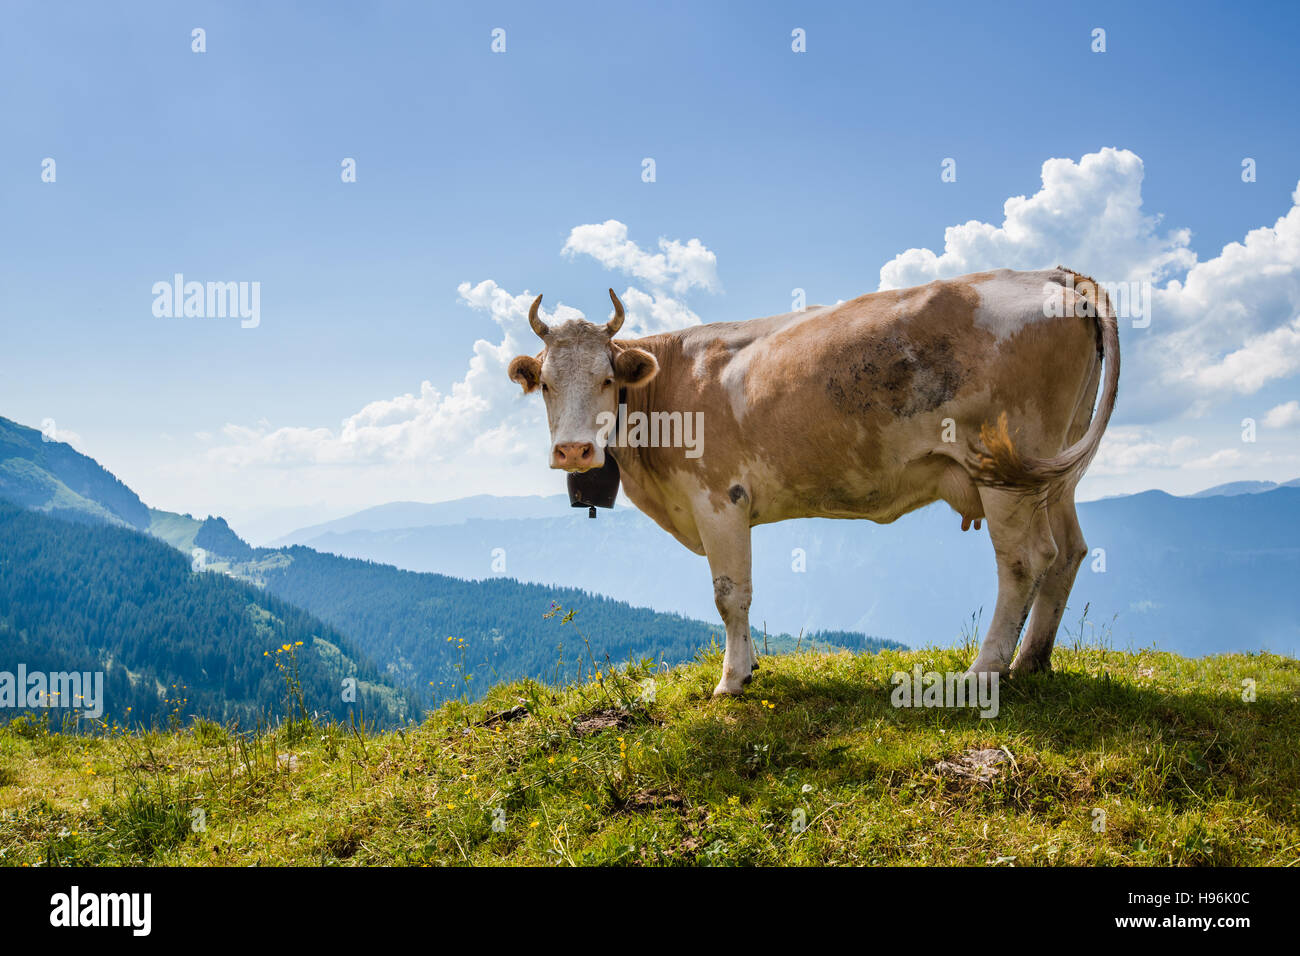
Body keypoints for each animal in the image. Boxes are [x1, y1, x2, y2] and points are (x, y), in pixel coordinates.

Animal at [506, 269, 1118, 697]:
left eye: (607, 380)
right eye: (546, 385)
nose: (574, 451)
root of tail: (1055, 275)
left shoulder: (720, 499)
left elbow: (730, 593)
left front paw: (732, 680)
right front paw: (750, 664)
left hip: (1006, 471)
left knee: (1025, 561)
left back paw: (985, 671)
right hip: (1054, 469)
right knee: (1068, 551)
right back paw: (1031, 661)